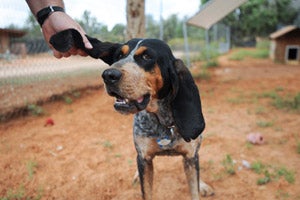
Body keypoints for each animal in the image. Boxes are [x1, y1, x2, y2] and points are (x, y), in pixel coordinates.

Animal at [50, 28, 214, 199]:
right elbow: (146, 190)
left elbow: (194, 189)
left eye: (147, 57)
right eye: (119, 56)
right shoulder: (144, 159)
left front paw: (200, 186)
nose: (108, 75)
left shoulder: (190, 156)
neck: (162, 123)